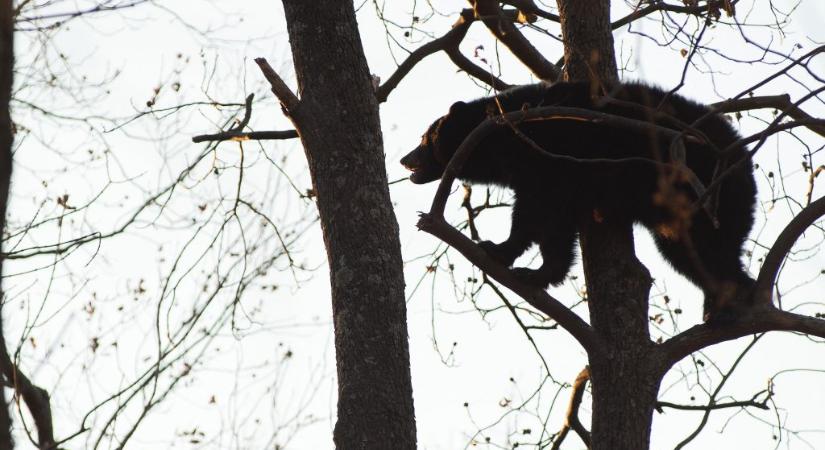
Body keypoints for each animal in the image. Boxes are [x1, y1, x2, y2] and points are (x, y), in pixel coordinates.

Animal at [402, 80, 756, 320]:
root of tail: (743, 159)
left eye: (424, 137)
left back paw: (730, 304)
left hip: (706, 192)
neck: (510, 137)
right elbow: (552, 222)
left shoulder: (556, 158)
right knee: (690, 255)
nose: (406, 159)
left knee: (710, 250)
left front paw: (507, 254)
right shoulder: (548, 175)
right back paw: (719, 303)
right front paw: (532, 266)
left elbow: (538, 213)